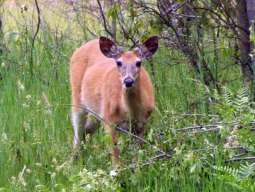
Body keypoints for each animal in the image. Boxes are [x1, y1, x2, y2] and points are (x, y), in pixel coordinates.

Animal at [68, 36, 158, 165]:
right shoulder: (109, 121)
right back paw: (72, 163)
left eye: (138, 62)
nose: (128, 81)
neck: (130, 112)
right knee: (77, 133)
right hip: (77, 99)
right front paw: (118, 170)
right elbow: (115, 155)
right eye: (119, 63)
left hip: (96, 113)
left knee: (86, 130)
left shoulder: (142, 124)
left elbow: (138, 154)